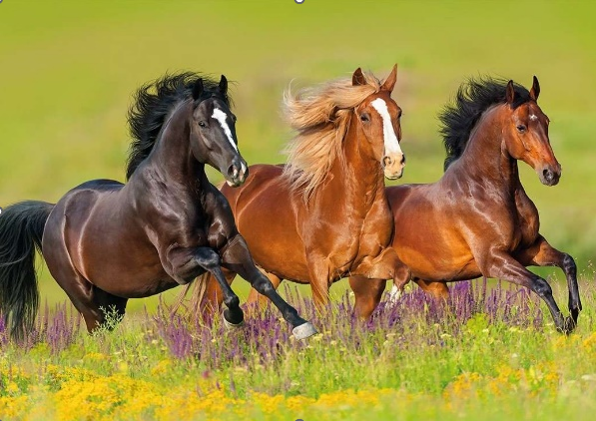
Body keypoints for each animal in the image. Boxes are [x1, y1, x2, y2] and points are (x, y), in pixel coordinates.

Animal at [0, 72, 316, 340]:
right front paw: (233, 316)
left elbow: (261, 281)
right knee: (97, 333)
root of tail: (53, 212)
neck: (182, 193)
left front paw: (301, 325)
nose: (237, 170)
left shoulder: (232, 243)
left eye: (232, 118)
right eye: (202, 123)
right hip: (86, 299)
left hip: (114, 299)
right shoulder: (176, 263)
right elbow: (211, 259)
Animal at [194, 65, 410, 316]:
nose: (394, 162)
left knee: (254, 307)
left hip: (270, 270)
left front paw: (386, 311)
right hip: (227, 264)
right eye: (365, 117)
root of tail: (225, 188)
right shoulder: (319, 269)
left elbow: (402, 273)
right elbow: (323, 311)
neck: (354, 207)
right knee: (208, 309)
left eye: (398, 113)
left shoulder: (369, 261)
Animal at [350, 74, 584, 332]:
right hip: (371, 280)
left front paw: (574, 313)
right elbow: (541, 284)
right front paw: (563, 325)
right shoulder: (493, 260)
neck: (485, 191)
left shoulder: (529, 249)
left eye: (546, 121)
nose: (551, 173)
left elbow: (568, 261)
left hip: (431, 283)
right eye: (521, 127)